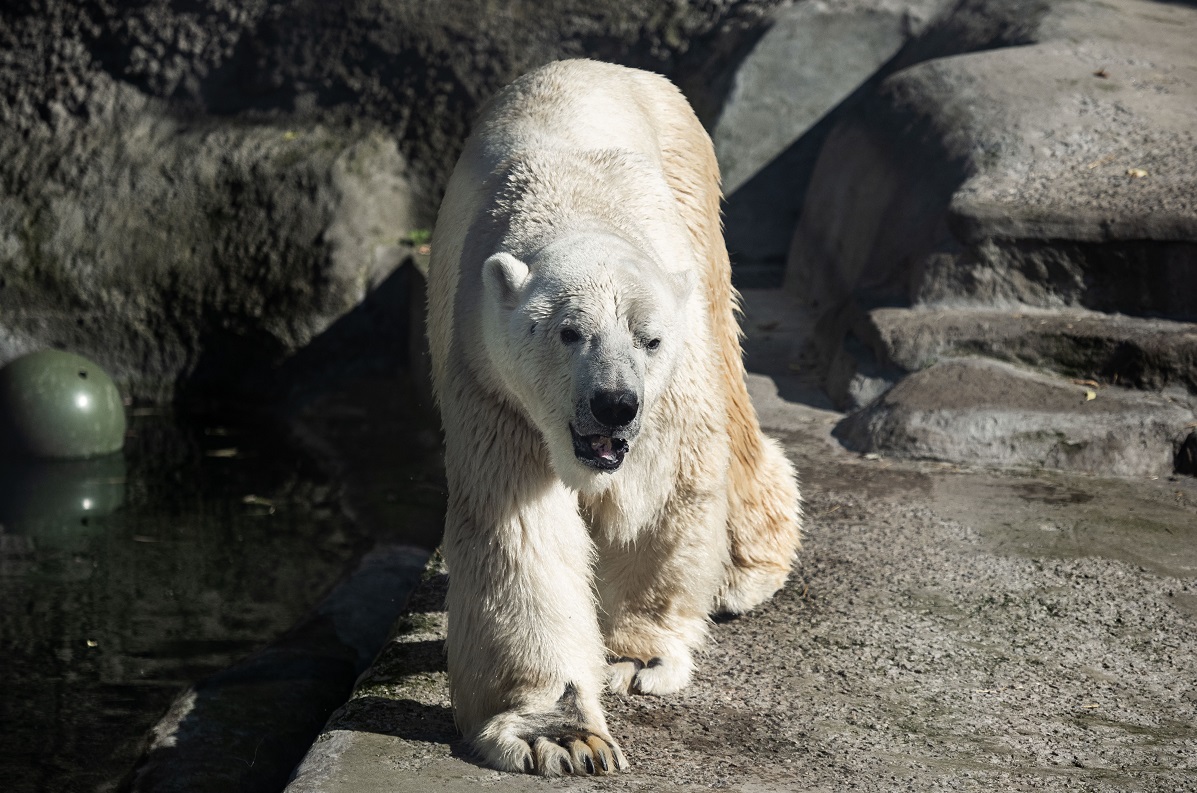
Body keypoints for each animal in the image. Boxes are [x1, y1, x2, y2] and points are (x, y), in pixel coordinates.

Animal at [426, 60, 799, 776]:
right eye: (568, 332)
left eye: (648, 339)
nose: (614, 403)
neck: (579, 204)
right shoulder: (491, 381)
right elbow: (520, 532)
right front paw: (559, 735)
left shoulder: (671, 378)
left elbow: (657, 492)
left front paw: (635, 658)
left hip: (696, 201)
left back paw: (748, 572)